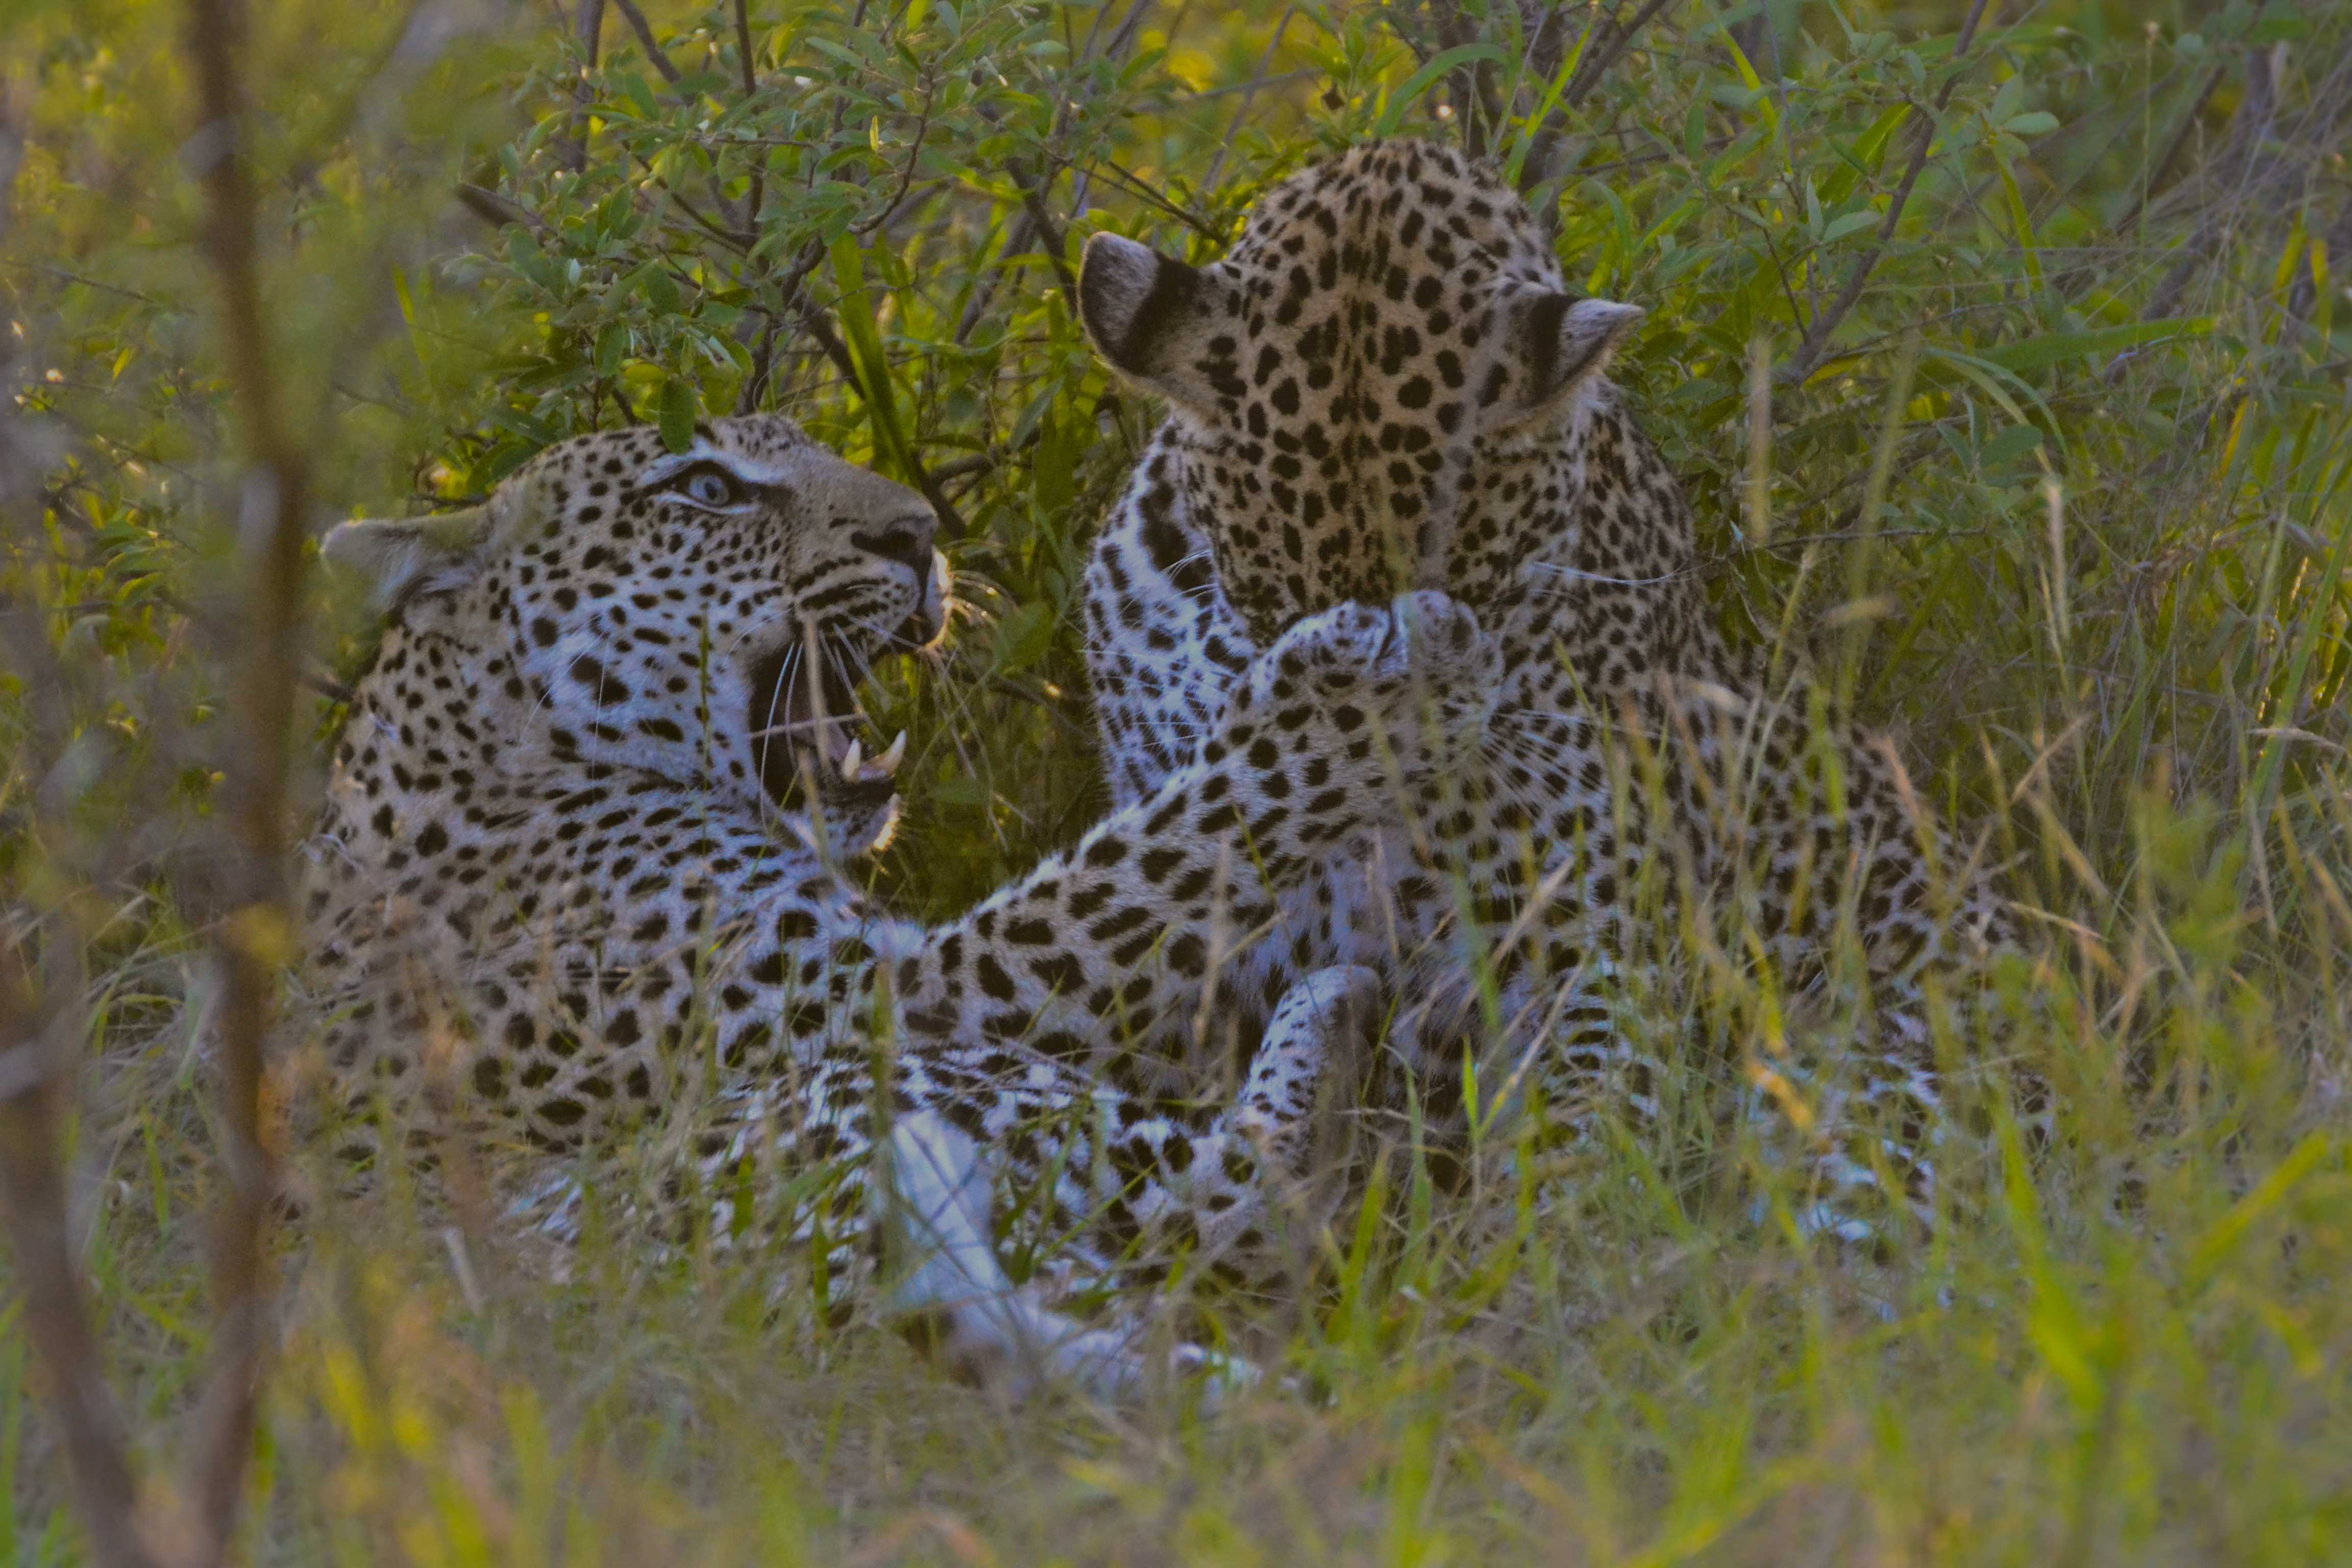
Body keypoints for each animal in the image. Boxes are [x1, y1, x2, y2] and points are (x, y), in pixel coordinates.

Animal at [296, 411, 1500, 1396]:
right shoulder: (908, 989)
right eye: (706, 489)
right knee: (1243, 1195)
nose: (918, 534)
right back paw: (1340, 1001)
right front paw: (1362, 686)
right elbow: (1166, 845)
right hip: (877, 1091)